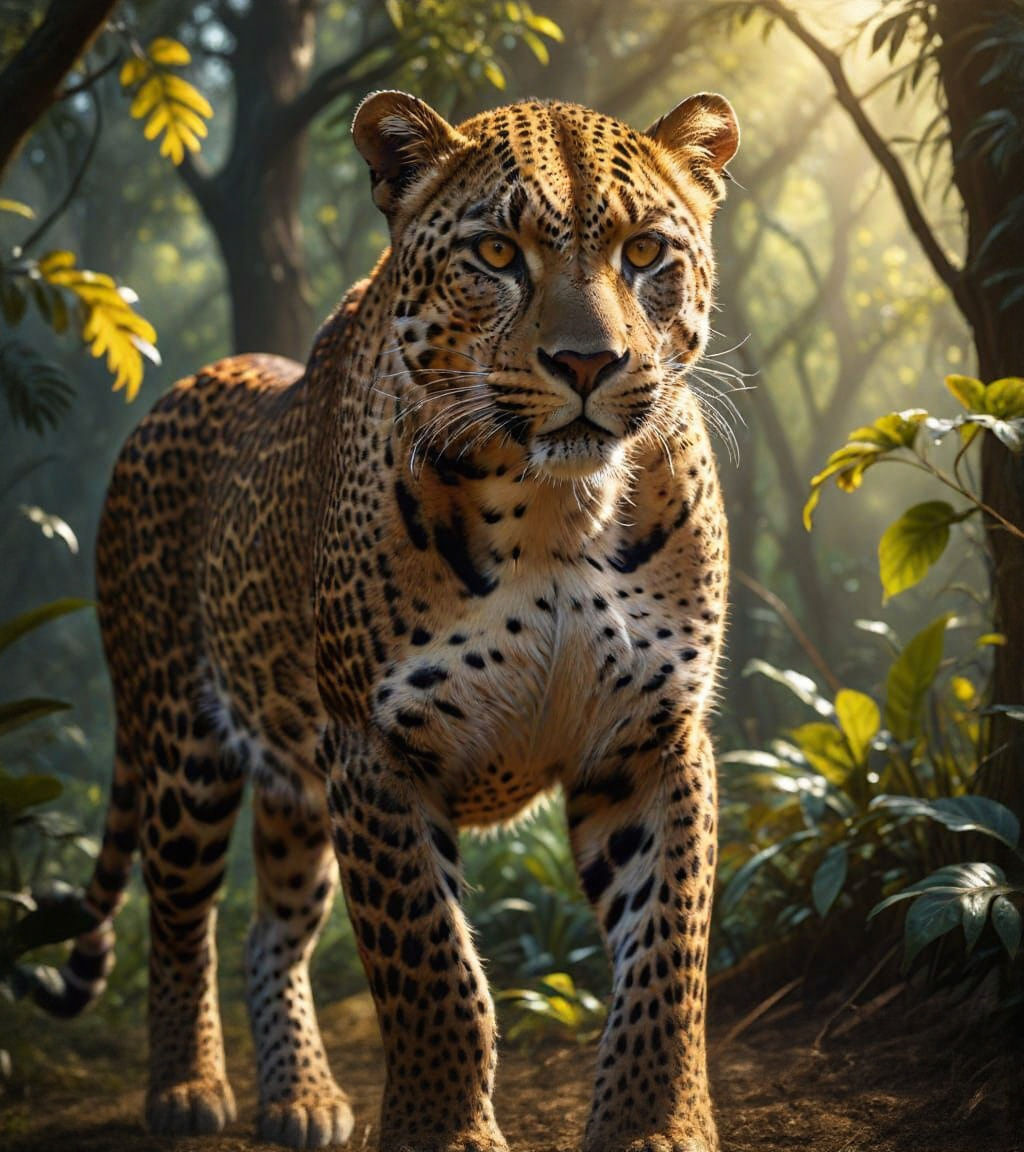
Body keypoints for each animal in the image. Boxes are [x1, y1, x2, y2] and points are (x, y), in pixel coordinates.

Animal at [31, 89, 739, 1152]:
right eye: (496, 254)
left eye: (647, 251)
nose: (587, 362)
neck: (558, 510)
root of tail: (185, 388)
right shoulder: (377, 747)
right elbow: (433, 970)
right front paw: (443, 1132)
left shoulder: (652, 737)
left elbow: (668, 948)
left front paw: (655, 1126)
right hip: (184, 742)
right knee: (181, 914)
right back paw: (188, 1087)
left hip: (294, 784)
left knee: (271, 931)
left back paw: (304, 1098)